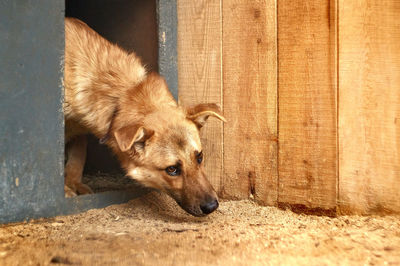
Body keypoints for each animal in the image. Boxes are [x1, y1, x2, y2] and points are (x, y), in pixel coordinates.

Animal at [63, 18, 225, 216]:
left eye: (199, 157)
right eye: (172, 169)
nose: (212, 206)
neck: (124, 94)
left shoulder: (79, 131)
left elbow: (77, 158)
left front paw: (73, 183)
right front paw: (66, 190)